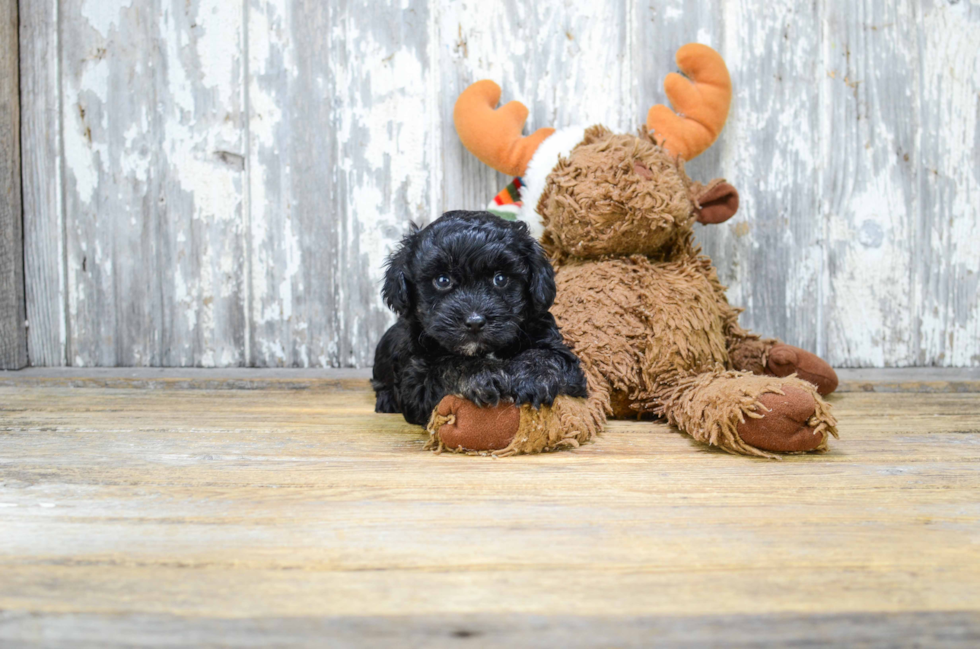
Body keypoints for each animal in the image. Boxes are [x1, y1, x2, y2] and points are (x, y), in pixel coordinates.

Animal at [374, 210, 588, 428]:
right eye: (442, 280)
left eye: (500, 279)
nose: (475, 322)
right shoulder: (415, 379)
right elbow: (447, 367)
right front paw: (482, 374)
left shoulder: (553, 344)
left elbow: (550, 357)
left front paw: (534, 377)